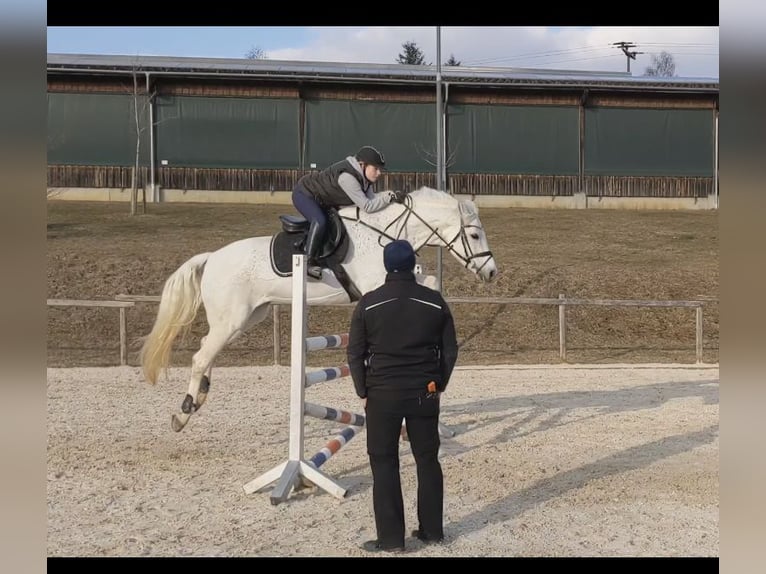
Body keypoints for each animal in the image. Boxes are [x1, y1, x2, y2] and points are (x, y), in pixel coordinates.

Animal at [138, 186, 498, 432]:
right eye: (474, 235)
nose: (492, 272)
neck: (386, 232)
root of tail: (212, 257)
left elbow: (430, 281)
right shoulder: (372, 283)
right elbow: (428, 283)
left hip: (246, 319)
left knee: (205, 350)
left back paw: (199, 396)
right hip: (233, 320)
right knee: (201, 356)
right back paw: (184, 411)